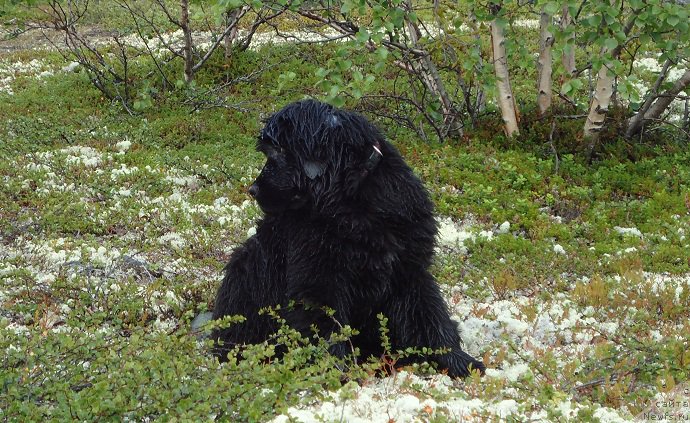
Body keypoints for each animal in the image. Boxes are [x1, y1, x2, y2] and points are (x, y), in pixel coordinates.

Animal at [211, 101, 484, 380]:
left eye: (277, 152)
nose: (252, 190)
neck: (350, 201)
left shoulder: (411, 271)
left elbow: (430, 316)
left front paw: (458, 361)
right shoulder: (319, 281)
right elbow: (327, 329)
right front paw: (332, 372)